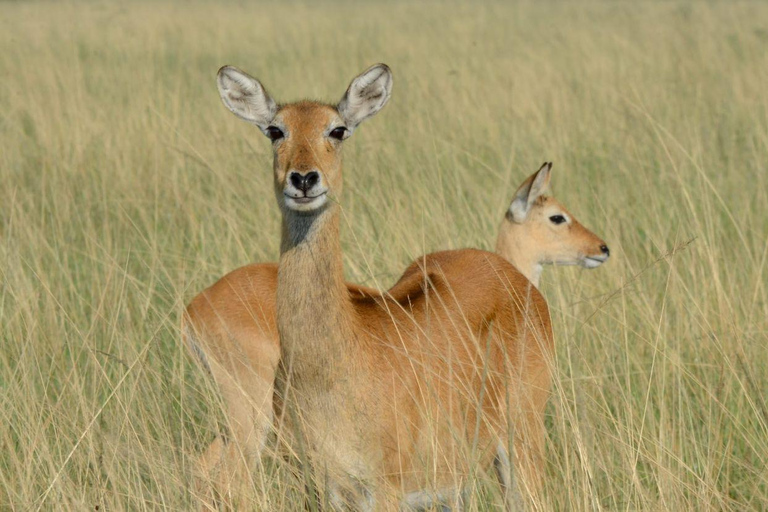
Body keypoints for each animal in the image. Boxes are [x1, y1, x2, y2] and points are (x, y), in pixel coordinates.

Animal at [183, 66, 608, 510]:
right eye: (274, 130)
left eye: (337, 129)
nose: (303, 178)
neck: (338, 363)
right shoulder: (335, 491)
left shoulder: (387, 491)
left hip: (520, 441)